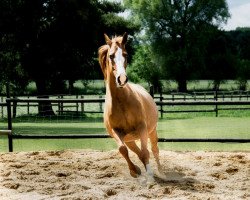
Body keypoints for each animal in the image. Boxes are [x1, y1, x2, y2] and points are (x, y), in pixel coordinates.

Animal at [98, 32, 161, 178]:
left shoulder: (142, 128)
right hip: (130, 139)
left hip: (151, 131)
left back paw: (161, 171)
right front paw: (134, 170)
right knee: (137, 151)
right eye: (111, 56)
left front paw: (150, 175)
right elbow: (123, 150)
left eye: (125, 54)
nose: (122, 79)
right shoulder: (117, 132)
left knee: (154, 149)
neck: (121, 102)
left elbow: (145, 152)